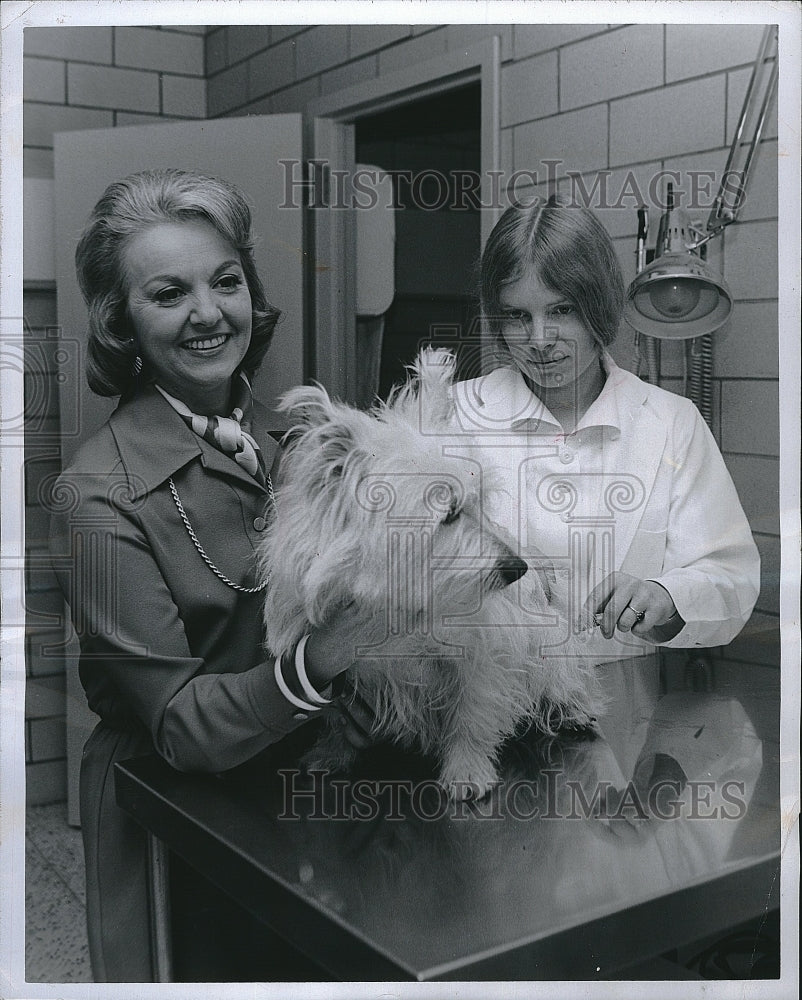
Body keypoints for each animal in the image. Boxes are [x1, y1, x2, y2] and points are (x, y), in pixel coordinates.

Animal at [260, 348, 596, 800]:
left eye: (480, 501)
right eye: (449, 513)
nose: (518, 568)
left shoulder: (484, 654)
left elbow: (473, 712)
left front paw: (467, 771)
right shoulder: (331, 663)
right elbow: (335, 718)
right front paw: (330, 753)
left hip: (554, 645)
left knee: (565, 677)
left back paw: (573, 709)